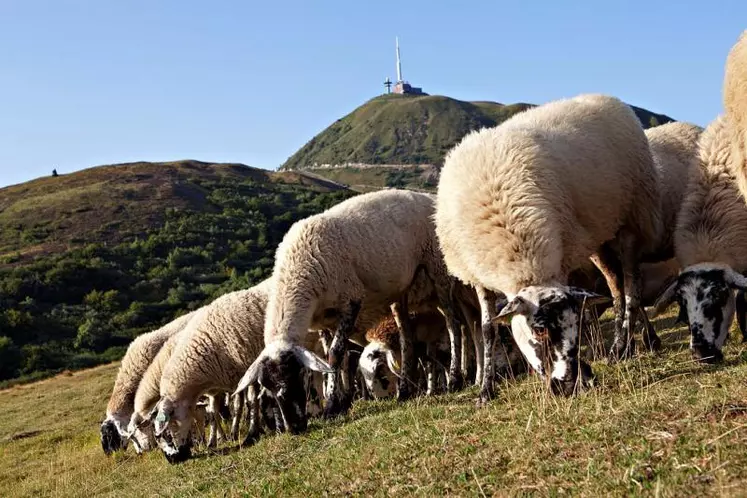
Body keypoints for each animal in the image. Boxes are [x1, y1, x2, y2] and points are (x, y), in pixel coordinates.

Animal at [237, 189, 464, 434]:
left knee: (452, 322)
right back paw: (405, 390)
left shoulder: (350, 300)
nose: (294, 428)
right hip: (401, 287)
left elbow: (335, 354)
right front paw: (340, 403)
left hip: (437, 265)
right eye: (267, 386)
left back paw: (455, 380)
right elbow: (335, 360)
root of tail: (427, 196)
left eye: (296, 373)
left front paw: (331, 407)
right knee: (407, 336)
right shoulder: (323, 322)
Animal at [436, 93, 664, 402]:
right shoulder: (476, 275)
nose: (566, 386)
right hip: (597, 235)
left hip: (631, 218)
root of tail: (606, 98)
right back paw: (626, 345)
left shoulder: (562, 260)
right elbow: (487, 330)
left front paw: (584, 374)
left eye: (575, 331)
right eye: (540, 330)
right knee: (616, 285)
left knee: (631, 287)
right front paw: (485, 389)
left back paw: (623, 346)